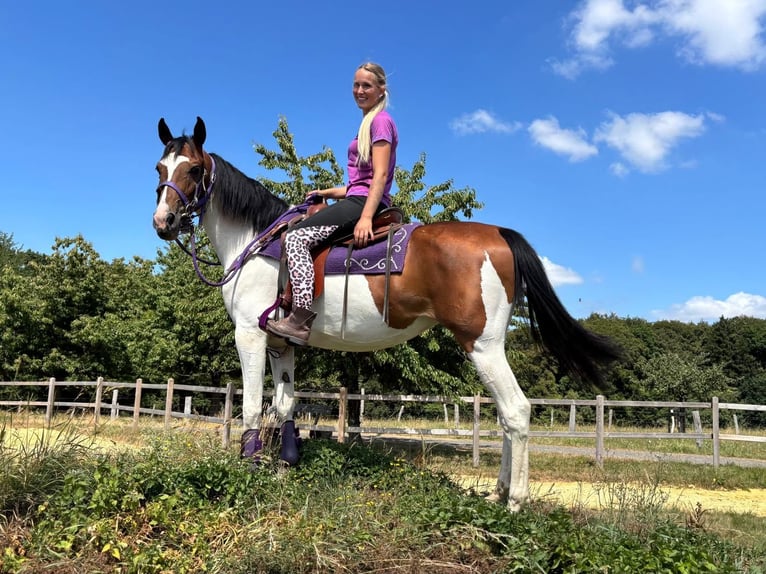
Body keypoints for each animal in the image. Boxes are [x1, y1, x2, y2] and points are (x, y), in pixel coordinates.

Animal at [151, 116, 621, 511]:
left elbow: (251, 406)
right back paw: (498, 492)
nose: (164, 221)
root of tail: (499, 236)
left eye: (194, 170)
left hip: (483, 345)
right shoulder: (282, 344)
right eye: (160, 168)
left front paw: (250, 469)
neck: (256, 243)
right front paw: (285, 466)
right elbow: (284, 406)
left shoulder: (250, 335)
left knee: (517, 411)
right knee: (506, 417)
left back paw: (514, 503)